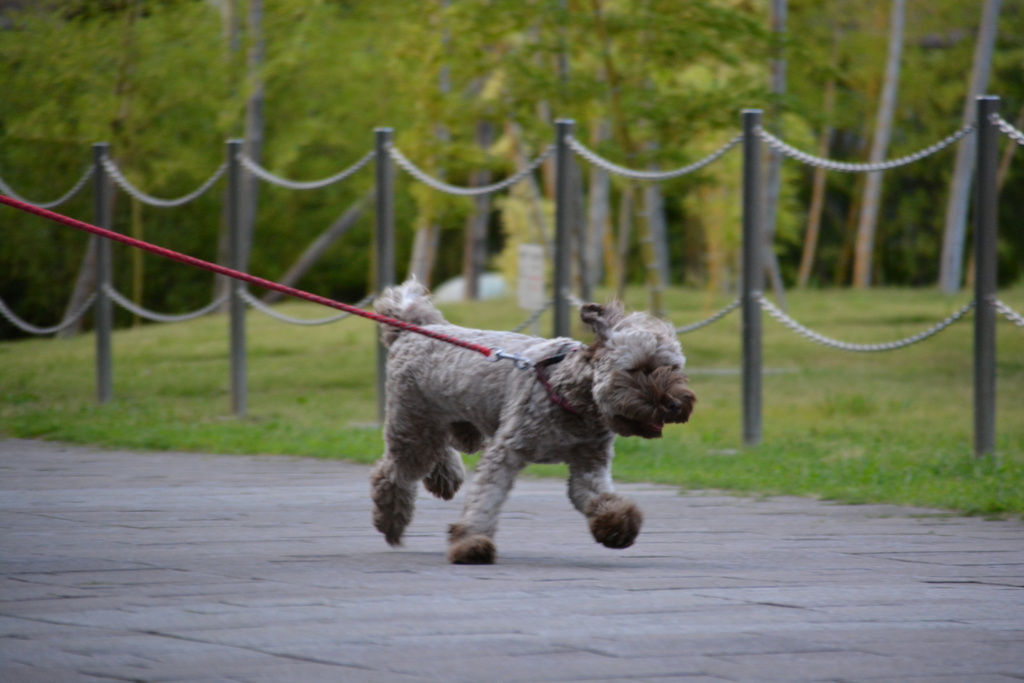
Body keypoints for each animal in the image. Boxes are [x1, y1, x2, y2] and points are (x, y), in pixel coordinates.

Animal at [370, 280, 696, 565]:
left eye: (673, 368)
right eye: (641, 369)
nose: (676, 404)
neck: (572, 397)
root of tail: (415, 330)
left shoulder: (589, 464)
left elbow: (598, 497)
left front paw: (617, 527)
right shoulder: (505, 454)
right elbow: (485, 500)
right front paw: (471, 543)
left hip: (460, 426)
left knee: (440, 450)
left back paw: (444, 477)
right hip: (414, 425)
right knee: (391, 473)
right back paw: (391, 522)